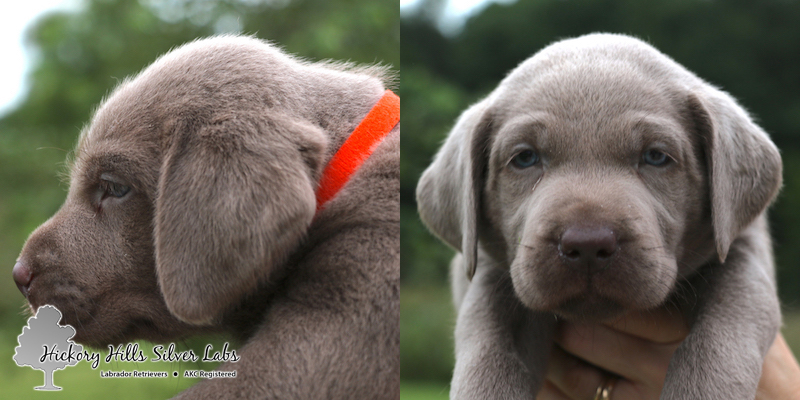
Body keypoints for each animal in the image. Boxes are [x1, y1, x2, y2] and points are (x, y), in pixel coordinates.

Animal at [418, 32, 780, 398]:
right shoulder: (488, 271)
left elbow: (718, 335)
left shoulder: (740, 249)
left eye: (656, 156)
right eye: (524, 158)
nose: (588, 244)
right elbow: (488, 350)